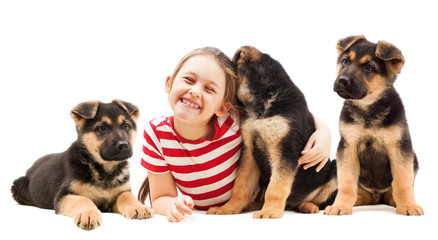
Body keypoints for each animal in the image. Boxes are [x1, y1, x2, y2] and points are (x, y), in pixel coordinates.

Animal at [11, 99, 154, 229]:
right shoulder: (64, 195)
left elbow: (127, 196)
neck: (104, 170)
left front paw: (138, 207)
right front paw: (88, 214)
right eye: (101, 128)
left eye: (126, 126)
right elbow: (82, 200)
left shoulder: (121, 191)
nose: (123, 145)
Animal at [207, 46, 338, 218]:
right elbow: (241, 186)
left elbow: (276, 187)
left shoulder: (286, 150)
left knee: (322, 202)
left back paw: (308, 205)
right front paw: (228, 208)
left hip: (334, 171)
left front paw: (269, 212)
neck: (262, 98)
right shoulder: (250, 151)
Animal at [326, 34, 424, 216]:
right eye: (345, 61)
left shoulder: (399, 145)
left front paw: (408, 205)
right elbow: (346, 183)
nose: (342, 81)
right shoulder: (348, 146)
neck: (368, 108)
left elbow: (402, 180)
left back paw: (397, 201)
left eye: (369, 67)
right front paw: (340, 206)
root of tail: (376, 198)